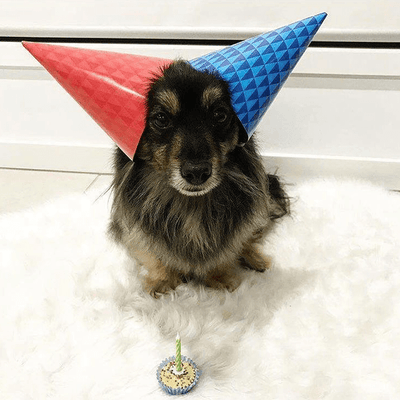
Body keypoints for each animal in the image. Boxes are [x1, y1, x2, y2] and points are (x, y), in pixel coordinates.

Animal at [108, 59, 290, 296]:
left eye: (220, 115)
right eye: (161, 118)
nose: (197, 172)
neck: (190, 204)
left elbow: (229, 247)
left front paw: (219, 277)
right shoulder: (135, 231)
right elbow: (153, 254)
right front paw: (162, 280)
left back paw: (255, 259)